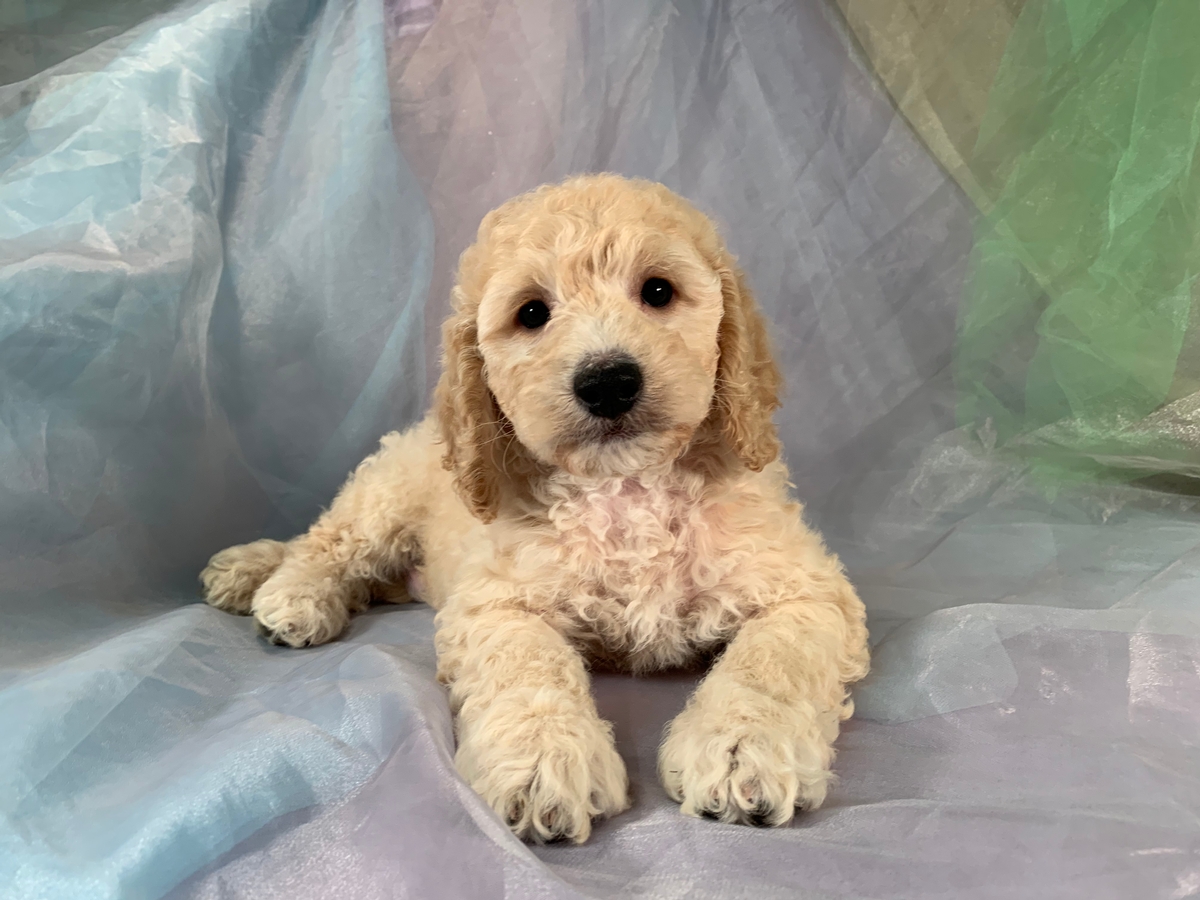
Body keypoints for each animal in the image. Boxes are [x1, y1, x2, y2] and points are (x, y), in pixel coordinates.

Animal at [201, 174, 868, 844]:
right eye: (532, 314)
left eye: (658, 291)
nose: (608, 382)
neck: (626, 487)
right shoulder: (496, 598)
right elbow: (527, 661)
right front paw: (544, 760)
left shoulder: (809, 589)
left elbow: (771, 660)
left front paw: (742, 751)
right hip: (384, 496)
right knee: (326, 540)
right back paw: (289, 591)